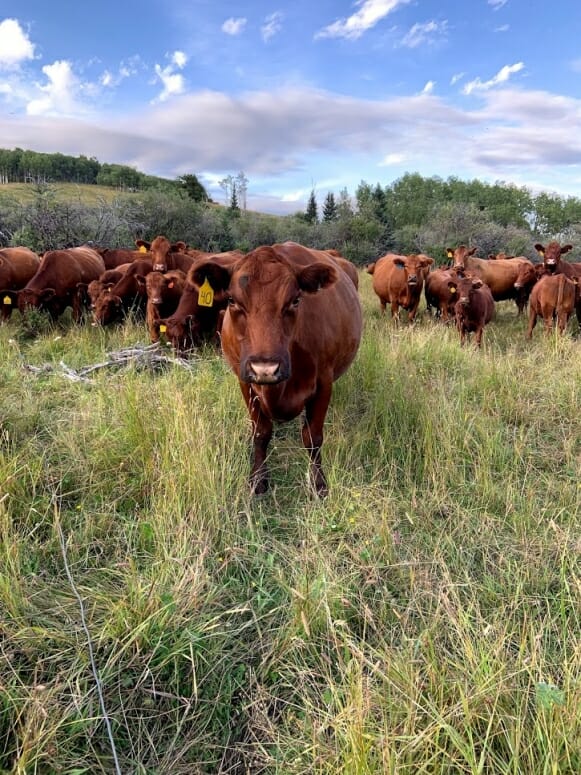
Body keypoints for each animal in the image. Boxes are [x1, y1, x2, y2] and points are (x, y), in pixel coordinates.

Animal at [189, 242, 362, 496]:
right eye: (231, 300)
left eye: (296, 300)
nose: (265, 368)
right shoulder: (246, 382)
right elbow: (261, 433)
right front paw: (258, 479)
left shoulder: (324, 383)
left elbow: (313, 437)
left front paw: (318, 483)